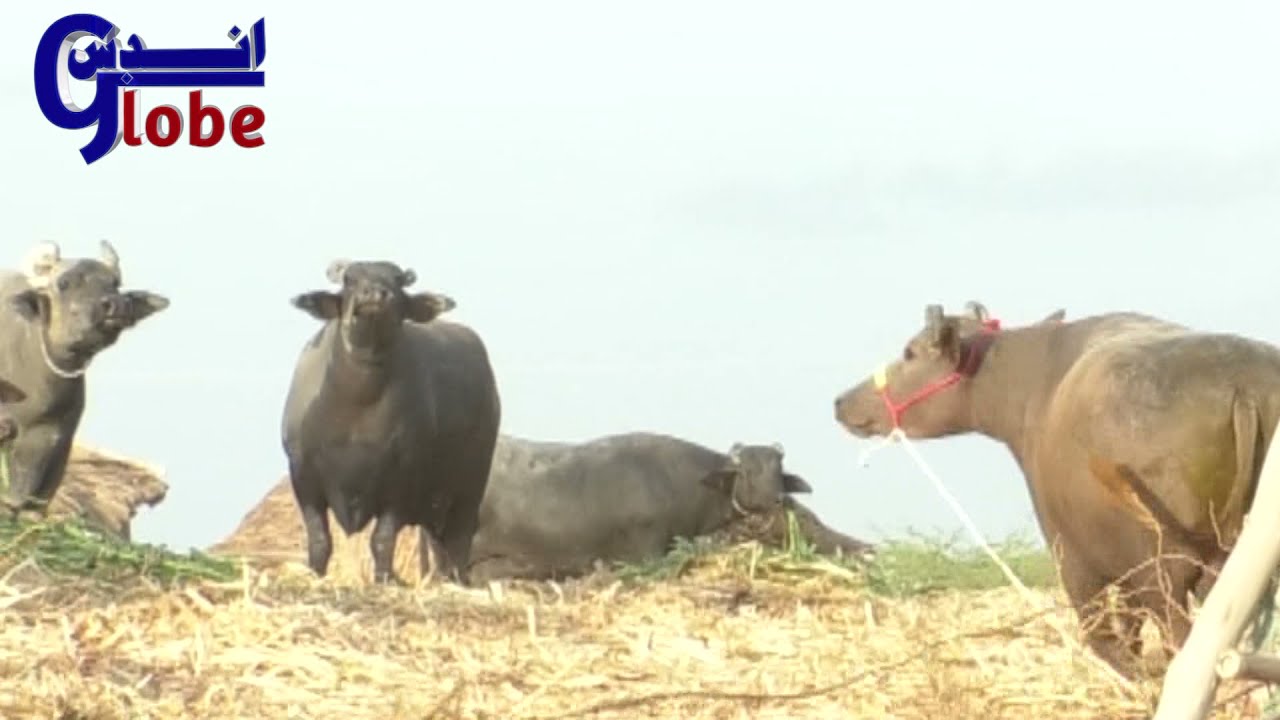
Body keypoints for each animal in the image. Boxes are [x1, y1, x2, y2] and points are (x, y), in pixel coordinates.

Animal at [281, 259, 501, 585]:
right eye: (349, 279)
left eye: (396, 280)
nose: (374, 294)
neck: (357, 401)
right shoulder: (303, 476)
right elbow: (320, 539)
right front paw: (314, 575)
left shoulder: (400, 479)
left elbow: (382, 540)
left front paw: (384, 578)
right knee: (440, 545)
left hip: (470, 485)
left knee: (459, 540)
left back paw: (457, 580)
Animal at [833, 301, 1280, 678]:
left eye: (909, 352)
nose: (841, 402)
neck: (1035, 385)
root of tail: (1241, 387)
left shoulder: (1073, 555)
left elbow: (1104, 638)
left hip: (1165, 573)